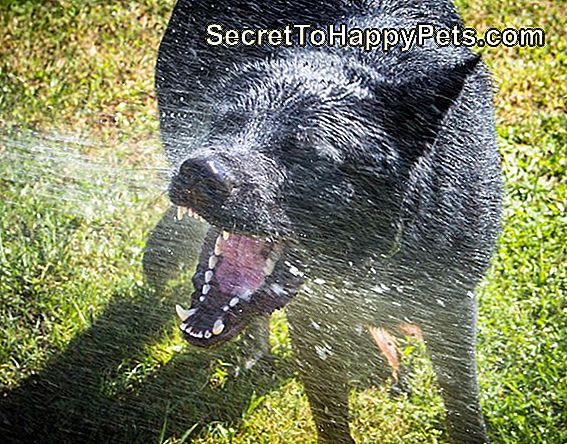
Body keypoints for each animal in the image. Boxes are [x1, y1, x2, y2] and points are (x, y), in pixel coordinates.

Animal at [149, 1, 504, 442]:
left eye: (307, 154)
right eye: (225, 123)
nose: (199, 171)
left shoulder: (451, 307)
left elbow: (464, 408)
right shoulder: (314, 318)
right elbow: (331, 417)